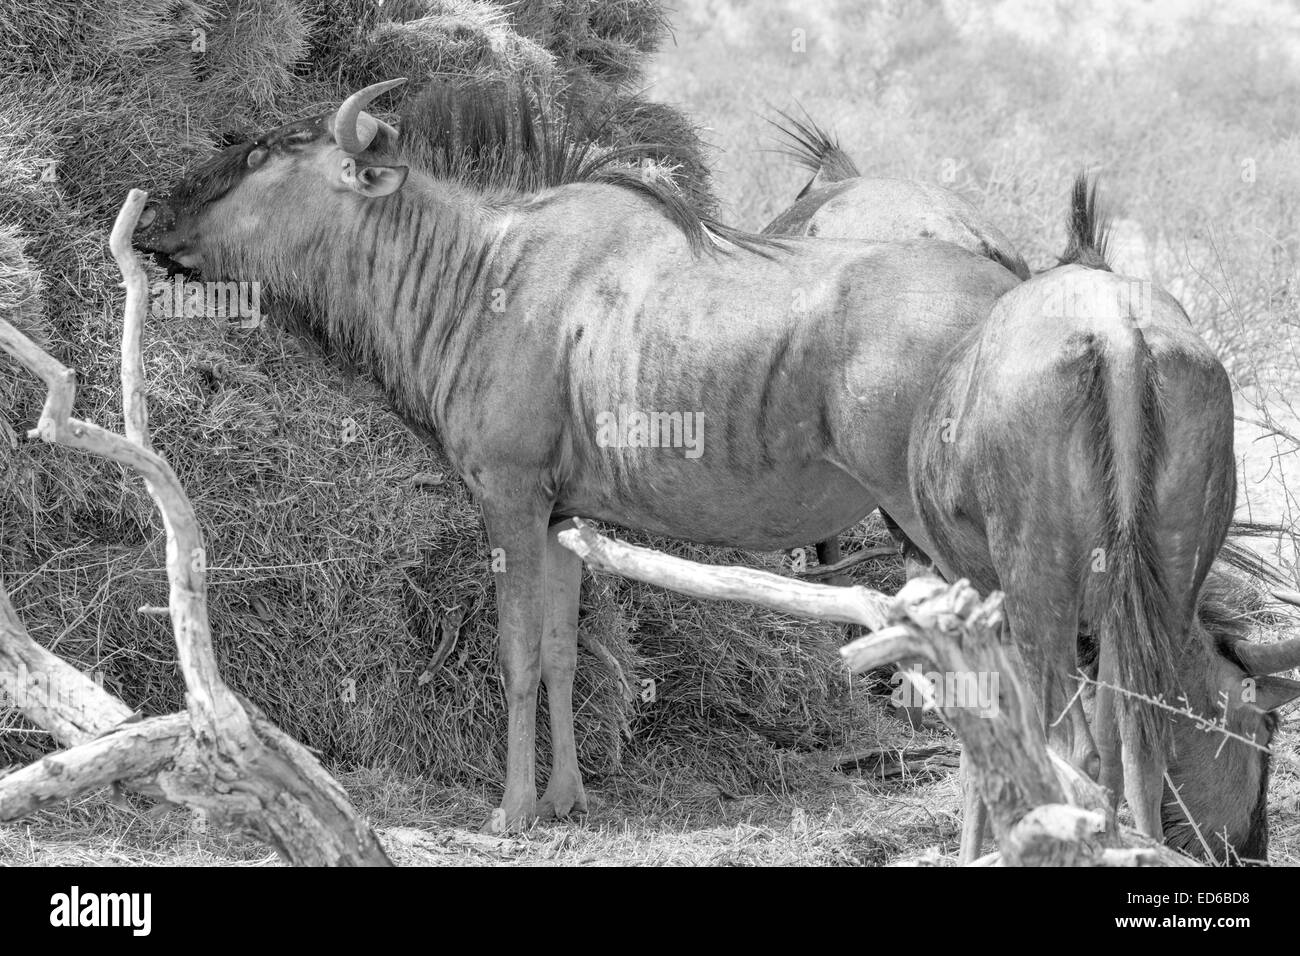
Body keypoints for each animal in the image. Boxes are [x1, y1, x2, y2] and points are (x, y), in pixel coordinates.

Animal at [134, 78, 1021, 830]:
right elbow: (564, 653)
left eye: (263, 154)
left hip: (937, 528)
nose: (147, 222)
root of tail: (1018, 294)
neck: (478, 275)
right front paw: (566, 795)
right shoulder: (563, 519)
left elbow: (518, 653)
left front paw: (513, 809)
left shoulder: (510, 502)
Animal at [910, 174, 1300, 862]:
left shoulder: (979, 600)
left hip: (1037, 594)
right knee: (1140, 744)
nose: (1252, 848)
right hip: (1157, 590)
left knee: (1075, 751)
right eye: (1270, 724)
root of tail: (1118, 337)